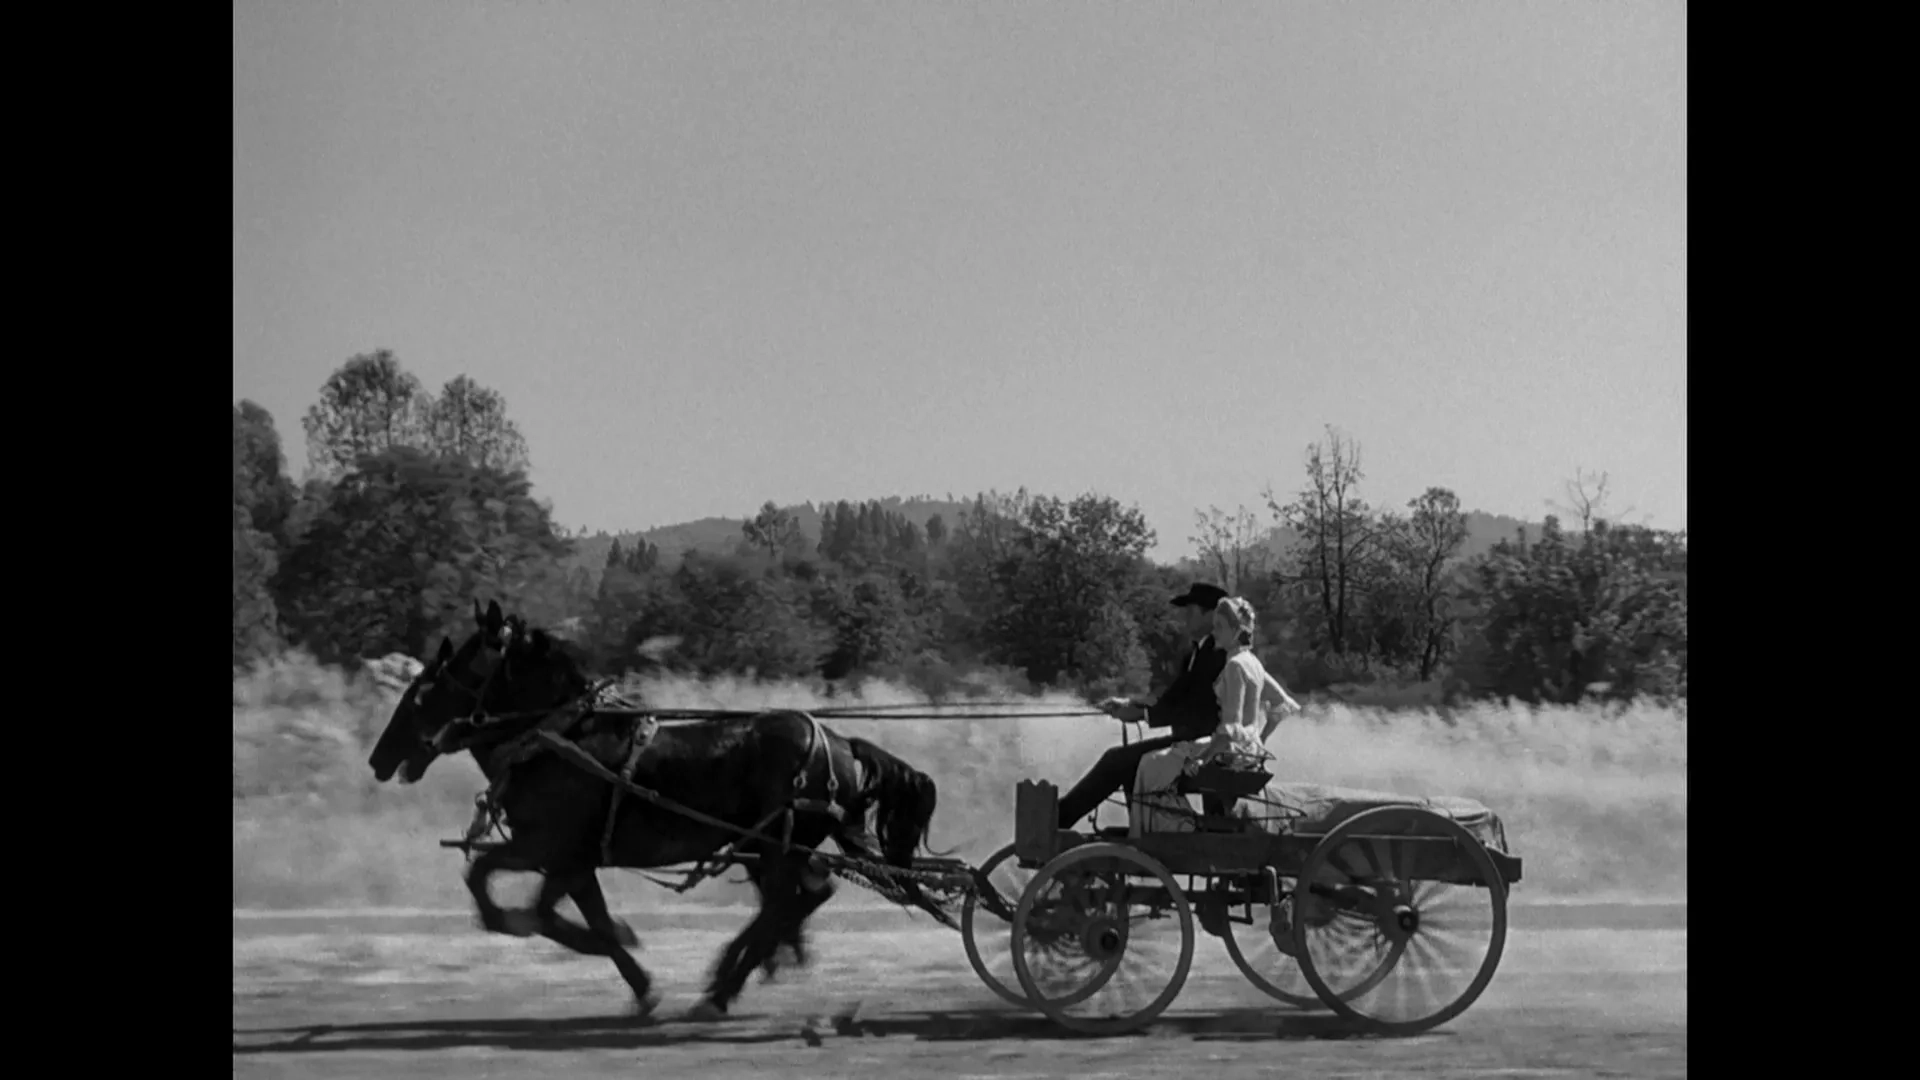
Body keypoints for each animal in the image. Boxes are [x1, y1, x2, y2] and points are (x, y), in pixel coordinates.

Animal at [362, 595, 948, 1014]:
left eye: (436, 679)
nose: (379, 757)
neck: (560, 740)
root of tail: (840, 743)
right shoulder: (566, 859)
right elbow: (530, 900)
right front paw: (636, 976)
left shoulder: (557, 854)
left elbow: (527, 904)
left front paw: (616, 954)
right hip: (774, 847)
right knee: (800, 898)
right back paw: (732, 976)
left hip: (775, 846)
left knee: (789, 901)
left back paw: (723, 986)